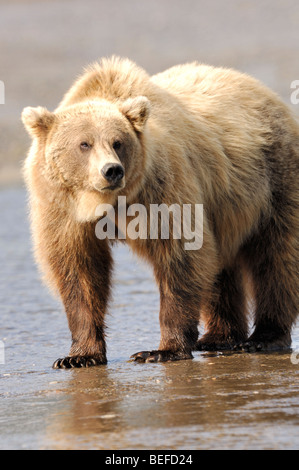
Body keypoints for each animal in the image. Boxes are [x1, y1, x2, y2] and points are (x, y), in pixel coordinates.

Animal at [22, 57, 299, 370]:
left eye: (117, 142)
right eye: (84, 143)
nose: (111, 170)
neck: (105, 202)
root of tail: (268, 95)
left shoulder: (160, 189)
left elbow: (180, 255)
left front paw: (160, 350)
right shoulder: (62, 209)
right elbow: (78, 269)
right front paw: (78, 356)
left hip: (275, 178)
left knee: (277, 256)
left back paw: (264, 336)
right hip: (227, 206)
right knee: (221, 265)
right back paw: (219, 337)